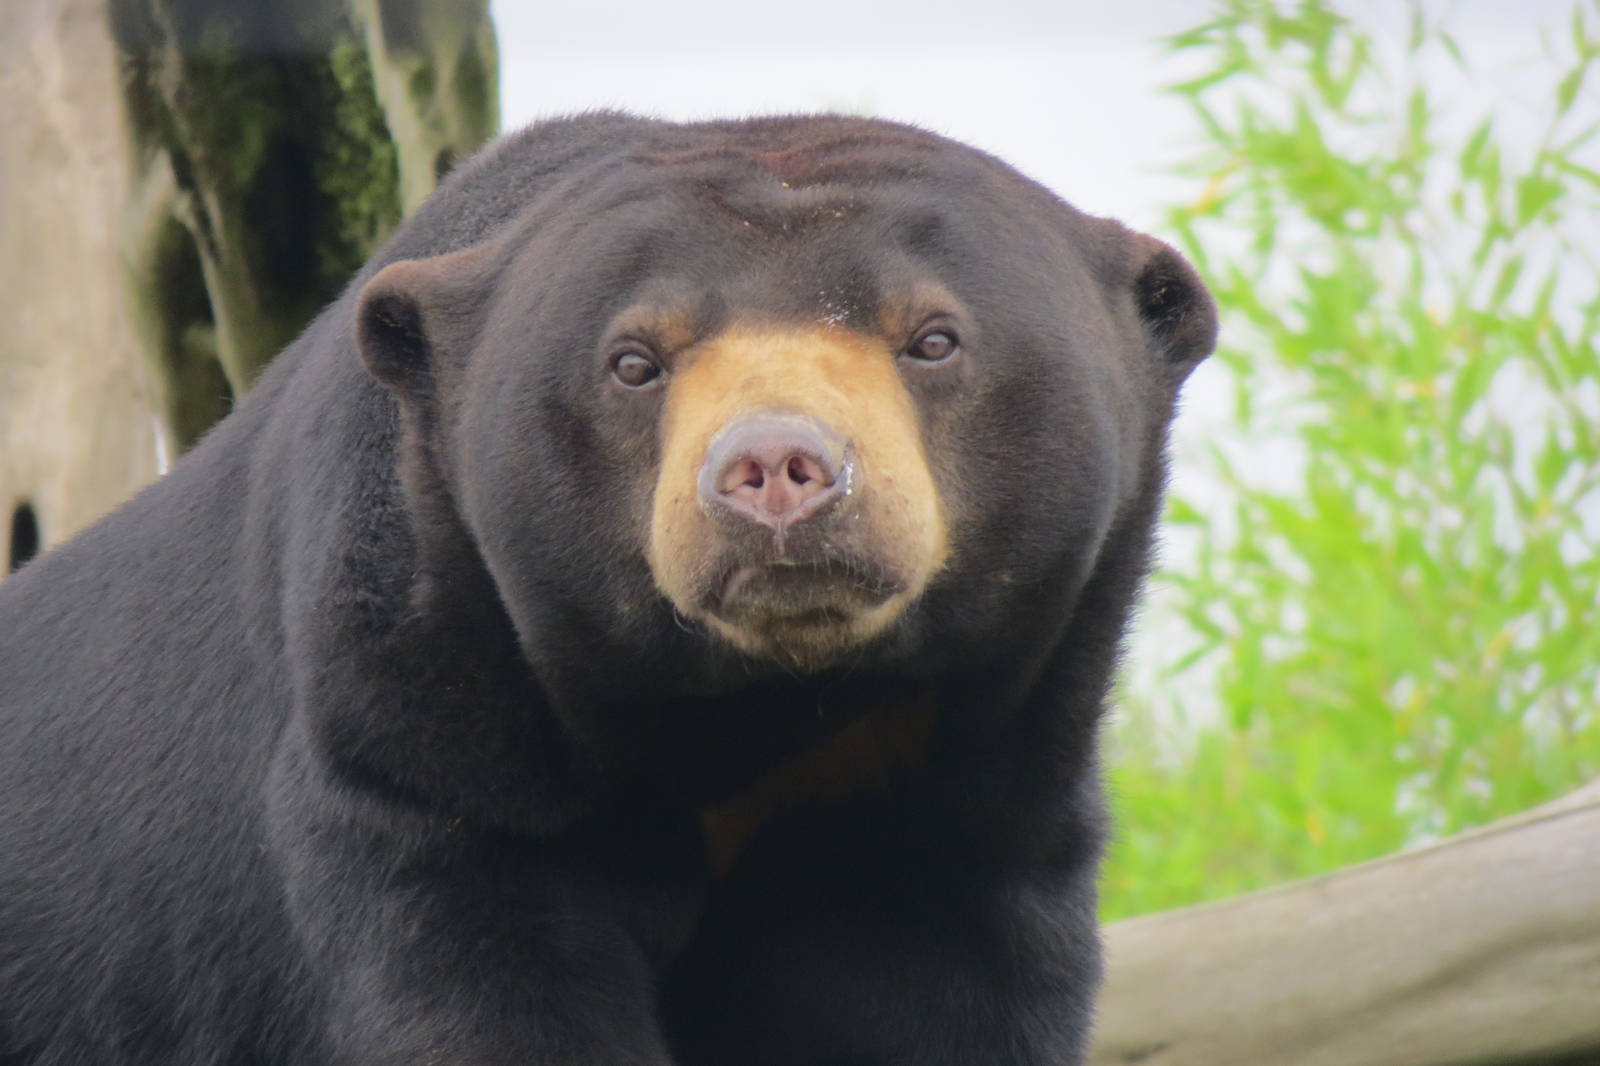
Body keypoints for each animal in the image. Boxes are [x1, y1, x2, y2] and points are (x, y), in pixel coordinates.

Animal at [0, 112, 1216, 1065]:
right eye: (634, 362)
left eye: (932, 338)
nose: (776, 469)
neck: (766, 711)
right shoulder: (414, 759)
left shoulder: (960, 804)